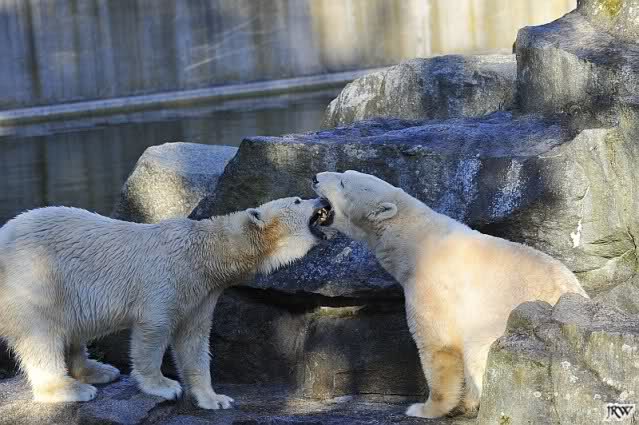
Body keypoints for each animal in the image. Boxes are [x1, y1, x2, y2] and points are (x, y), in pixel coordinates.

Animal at [0, 196, 332, 408]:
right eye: (298, 201)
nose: (322, 200)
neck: (205, 253)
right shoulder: (167, 277)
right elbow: (154, 330)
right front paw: (164, 386)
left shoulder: (203, 293)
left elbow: (194, 341)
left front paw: (214, 399)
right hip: (35, 277)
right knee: (41, 335)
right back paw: (71, 389)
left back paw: (99, 371)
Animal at [312, 170, 588, 418]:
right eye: (344, 173)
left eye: (343, 181)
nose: (315, 178)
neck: (415, 243)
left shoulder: (432, 286)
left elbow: (437, 344)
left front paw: (424, 409)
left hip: (498, 319)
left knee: (478, 352)